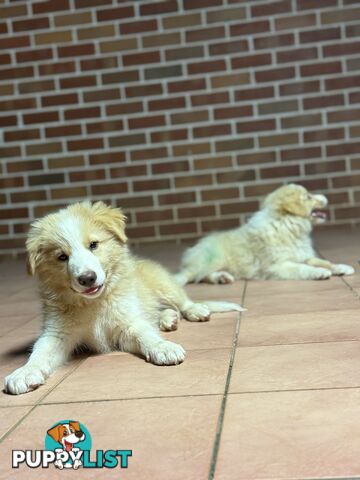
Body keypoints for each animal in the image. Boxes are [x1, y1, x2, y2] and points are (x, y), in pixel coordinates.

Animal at [4, 201, 245, 396]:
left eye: (94, 245)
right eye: (62, 257)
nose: (87, 278)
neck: (94, 303)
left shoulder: (129, 321)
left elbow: (145, 334)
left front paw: (163, 348)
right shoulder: (57, 334)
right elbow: (40, 352)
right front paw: (24, 372)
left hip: (163, 283)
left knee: (182, 302)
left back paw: (194, 311)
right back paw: (168, 320)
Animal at [176, 184, 354, 284]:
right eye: (308, 197)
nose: (325, 196)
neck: (288, 226)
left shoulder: (303, 255)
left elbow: (323, 261)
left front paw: (341, 267)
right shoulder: (278, 265)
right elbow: (302, 267)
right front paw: (319, 273)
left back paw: (223, 278)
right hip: (212, 259)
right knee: (192, 275)